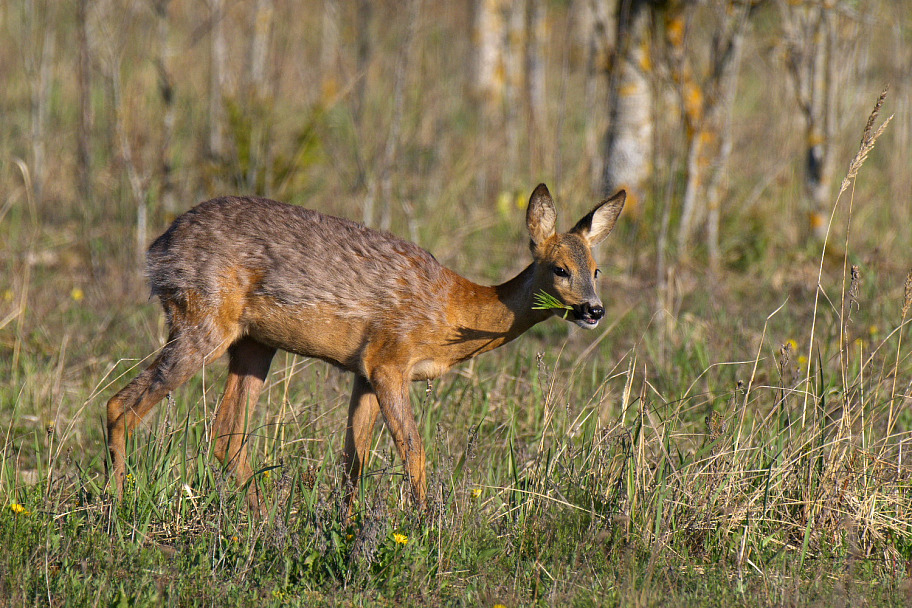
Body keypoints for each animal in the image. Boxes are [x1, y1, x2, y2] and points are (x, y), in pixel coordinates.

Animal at [103, 184, 624, 512]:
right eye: (560, 268)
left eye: (596, 270)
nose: (594, 310)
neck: (454, 310)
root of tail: (158, 249)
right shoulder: (389, 360)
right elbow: (414, 452)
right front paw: (424, 529)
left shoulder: (364, 371)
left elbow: (354, 461)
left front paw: (349, 527)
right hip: (202, 321)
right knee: (120, 405)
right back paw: (117, 508)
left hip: (252, 344)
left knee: (226, 432)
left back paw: (260, 519)